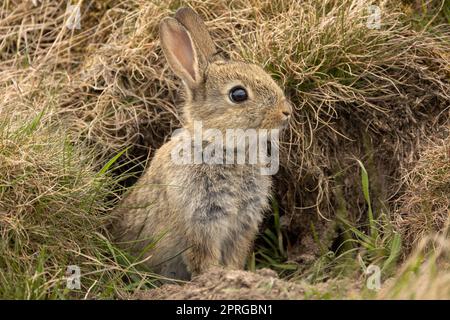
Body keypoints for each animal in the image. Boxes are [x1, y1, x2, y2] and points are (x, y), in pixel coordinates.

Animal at [113, 7, 292, 280]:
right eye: (238, 94)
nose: (286, 112)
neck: (222, 147)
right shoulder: (200, 221)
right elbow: (203, 257)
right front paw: (214, 277)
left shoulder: (242, 226)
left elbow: (235, 255)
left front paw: (235, 274)